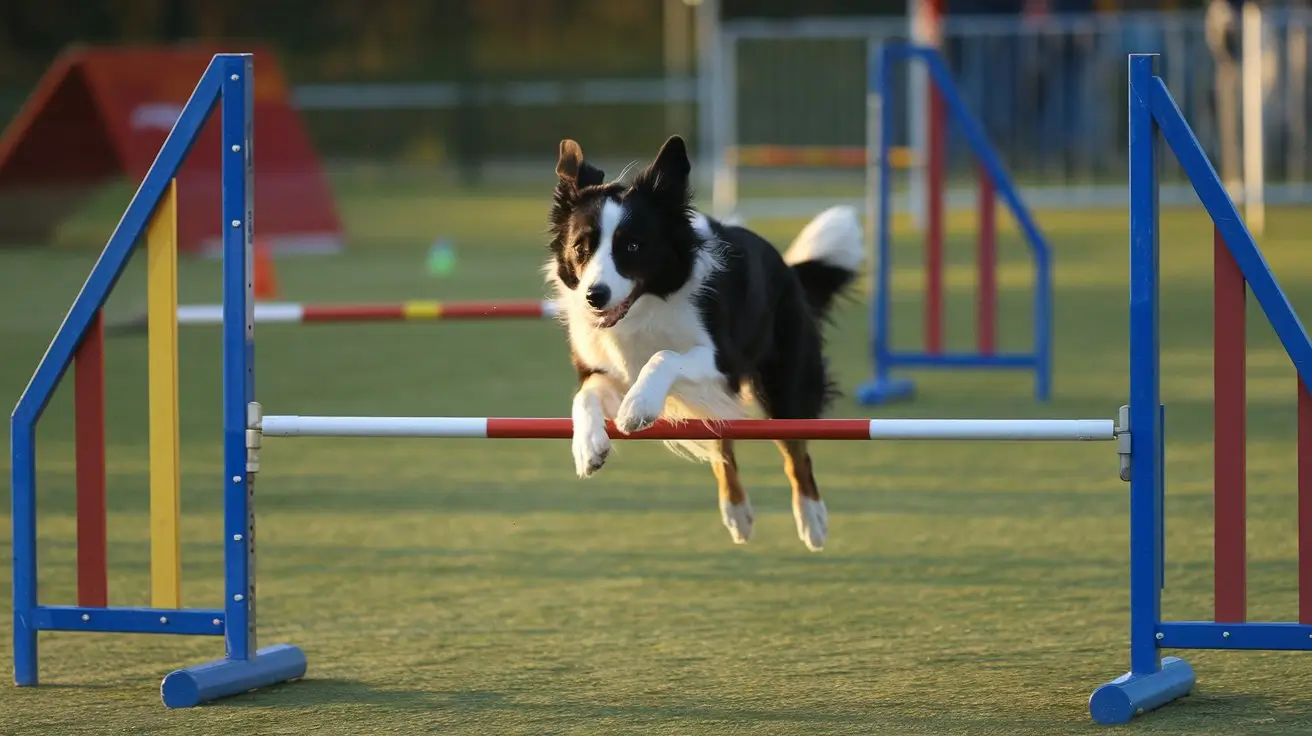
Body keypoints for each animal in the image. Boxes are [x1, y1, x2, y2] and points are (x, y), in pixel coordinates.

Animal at [543, 133, 860, 551]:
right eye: (582, 247)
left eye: (632, 247)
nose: (595, 296)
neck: (647, 307)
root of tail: (789, 270)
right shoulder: (607, 369)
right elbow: (585, 396)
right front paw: (588, 447)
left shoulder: (722, 360)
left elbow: (664, 356)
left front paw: (638, 408)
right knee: (722, 447)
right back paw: (737, 514)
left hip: (784, 384)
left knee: (796, 451)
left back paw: (813, 520)